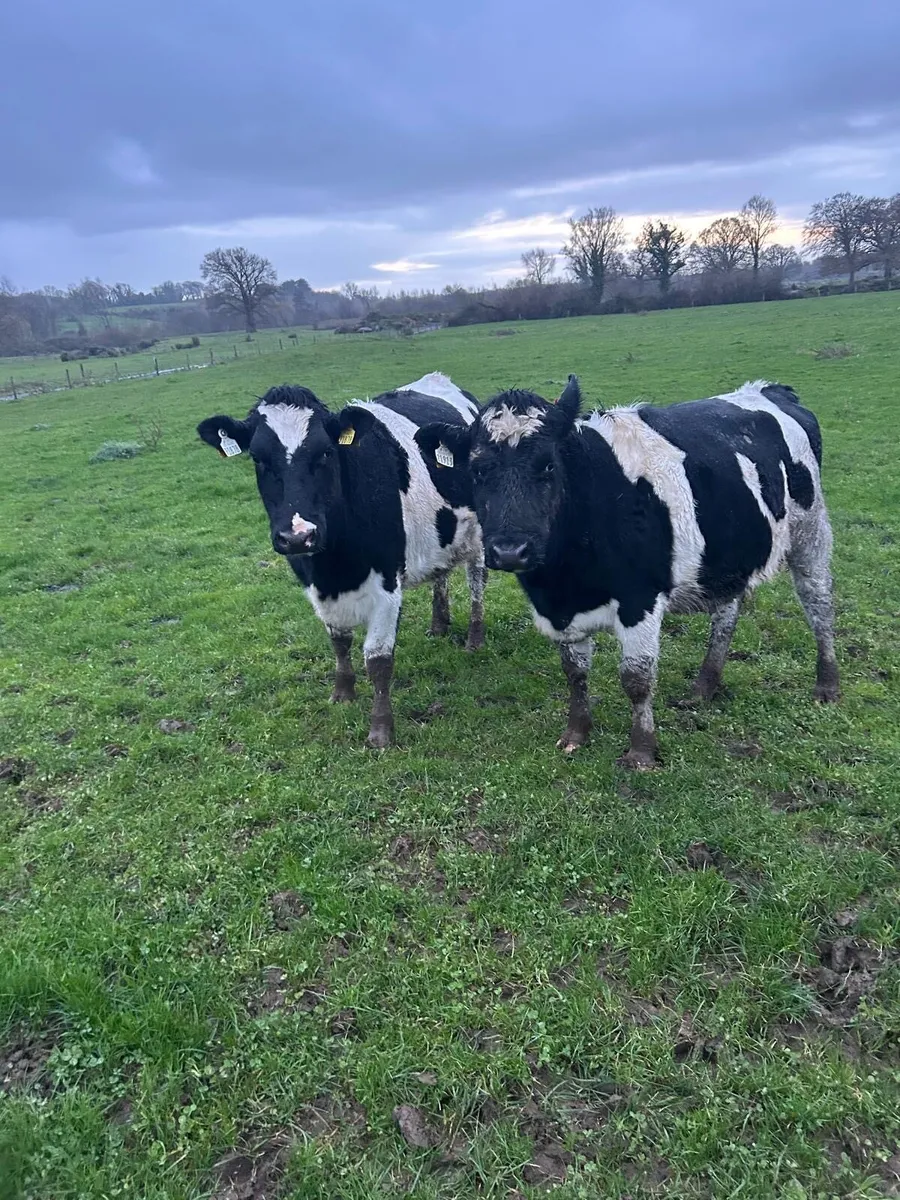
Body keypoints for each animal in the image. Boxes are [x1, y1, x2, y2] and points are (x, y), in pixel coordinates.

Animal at [196, 372, 487, 747]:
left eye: (325, 451)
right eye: (258, 458)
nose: (298, 536)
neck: (334, 568)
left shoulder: (387, 586)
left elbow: (378, 659)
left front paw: (380, 730)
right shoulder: (314, 585)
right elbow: (338, 641)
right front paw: (343, 693)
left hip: (478, 536)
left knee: (476, 582)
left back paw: (474, 639)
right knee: (441, 574)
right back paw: (438, 625)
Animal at [416, 376, 839, 768]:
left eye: (548, 465)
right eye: (477, 470)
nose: (510, 550)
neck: (563, 581)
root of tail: (770, 389)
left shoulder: (641, 599)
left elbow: (636, 680)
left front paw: (641, 751)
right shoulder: (562, 611)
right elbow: (574, 672)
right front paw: (577, 733)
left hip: (811, 531)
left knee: (819, 605)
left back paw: (827, 684)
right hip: (726, 557)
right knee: (726, 615)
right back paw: (705, 686)